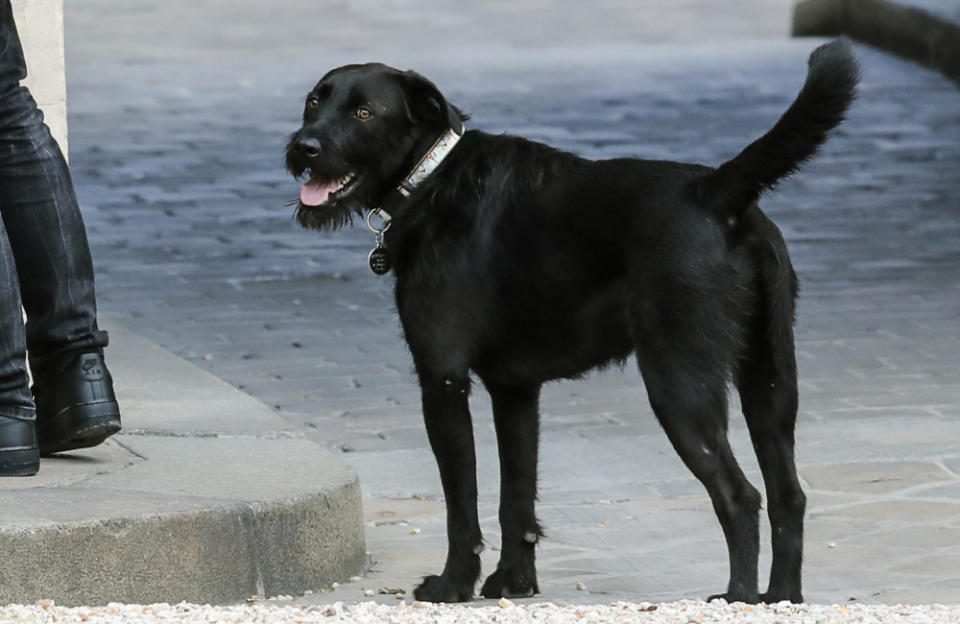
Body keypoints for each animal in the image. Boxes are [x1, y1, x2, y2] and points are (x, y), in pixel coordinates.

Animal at [284, 42, 856, 604]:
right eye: (314, 101)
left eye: (363, 112)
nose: (303, 147)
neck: (431, 176)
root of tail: (718, 191)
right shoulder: (515, 392)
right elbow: (515, 496)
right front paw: (513, 582)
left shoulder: (442, 381)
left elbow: (461, 502)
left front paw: (453, 585)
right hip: (770, 382)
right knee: (788, 495)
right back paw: (781, 596)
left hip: (680, 388)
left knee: (740, 496)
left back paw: (740, 596)